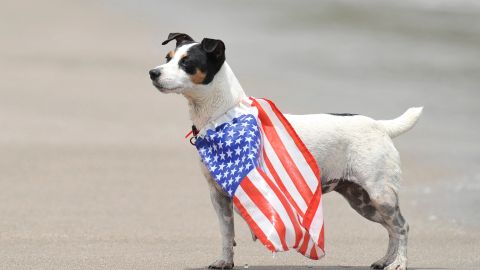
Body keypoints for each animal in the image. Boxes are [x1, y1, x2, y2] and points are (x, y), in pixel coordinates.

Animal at [148, 32, 422, 268]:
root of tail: (381, 126)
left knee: (402, 227)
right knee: (391, 229)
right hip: (362, 200)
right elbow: (226, 234)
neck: (222, 115)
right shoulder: (219, 196)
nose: (153, 72)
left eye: (187, 62)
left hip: (380, 195)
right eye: (168, 58)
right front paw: (225, 261)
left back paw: (399, 264)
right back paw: (385, 261)